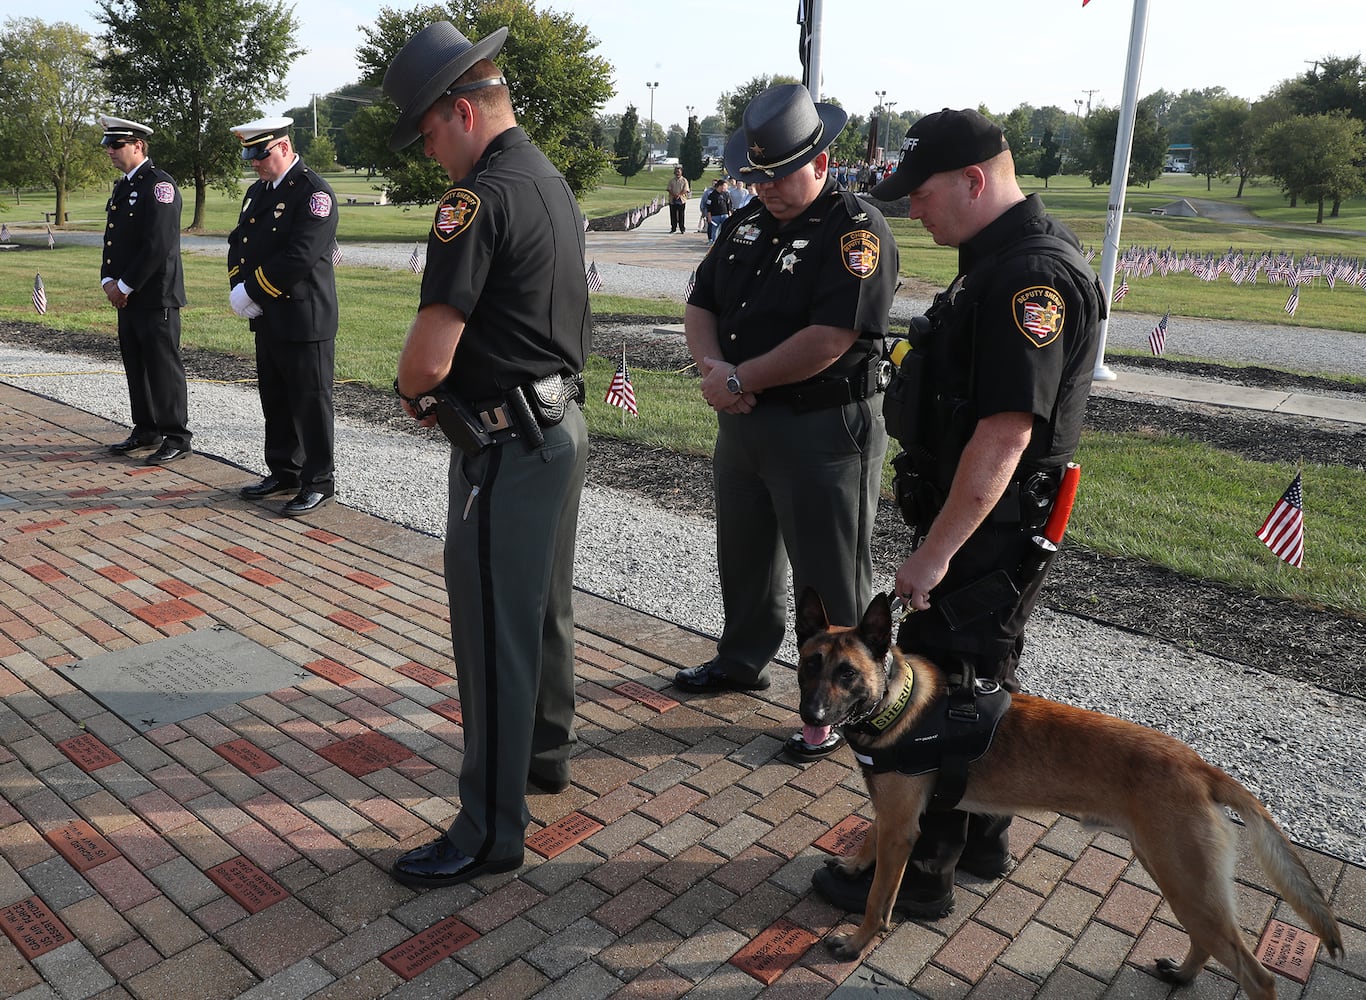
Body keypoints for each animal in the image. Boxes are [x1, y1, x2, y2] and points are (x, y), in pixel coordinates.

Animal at [797, 584, 1338, 1000]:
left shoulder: (902, 828)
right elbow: (868, 838)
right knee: (1208, 941)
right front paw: (853, 865)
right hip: (1176, 876)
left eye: (847, 674)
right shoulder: (894, 816)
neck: (896, 701)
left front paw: (856, 942)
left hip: (1185, 879)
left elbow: (878, 900)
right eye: (808, 666)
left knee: (1258, 976)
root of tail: (1201, 766)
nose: (811, 717)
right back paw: (1182, 975)